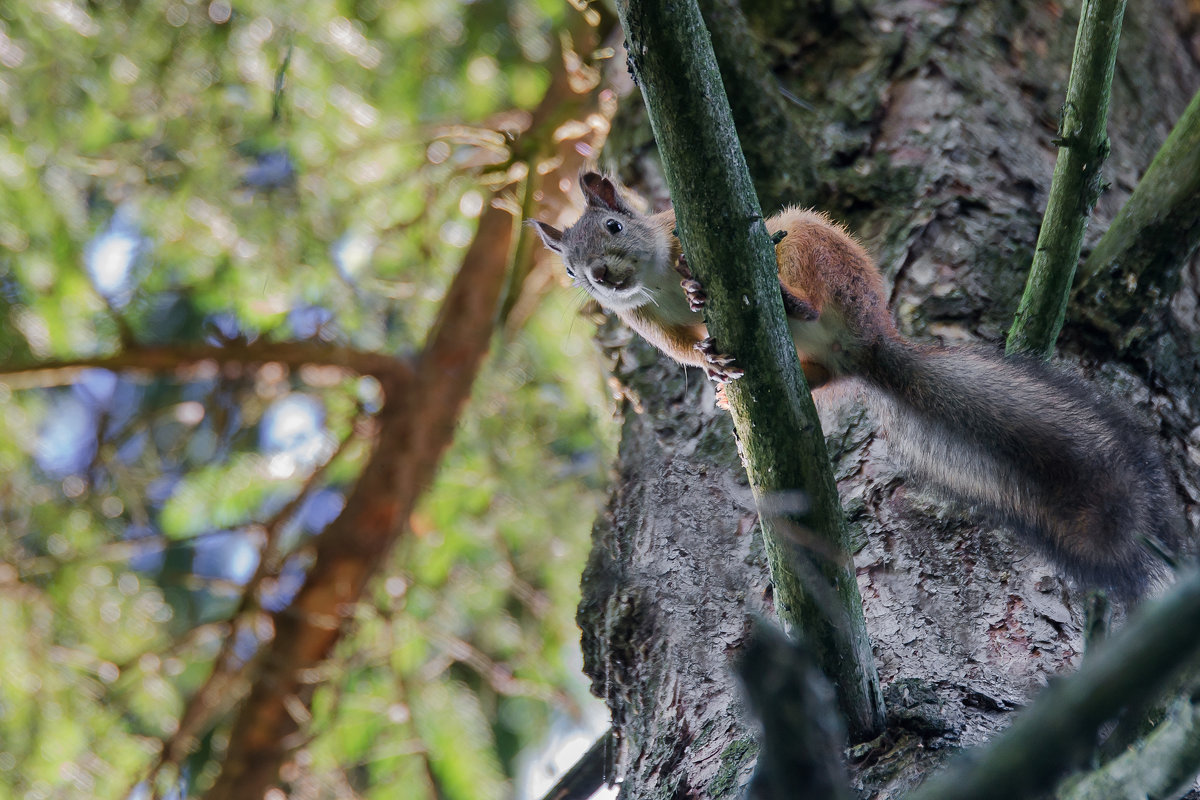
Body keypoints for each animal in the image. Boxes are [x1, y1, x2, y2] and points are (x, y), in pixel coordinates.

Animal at [535, 172, 1180, 597]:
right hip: (818, 353)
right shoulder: (648, 324)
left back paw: (793, 303)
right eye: (569, 270)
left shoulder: (676, 236)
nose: (599, 277)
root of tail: (872, 344)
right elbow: (683, 347)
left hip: (806, 246)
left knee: (796, 267)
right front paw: (711, 365)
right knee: (820, 372)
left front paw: (695, 285)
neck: (652, 280)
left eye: (614, 224)